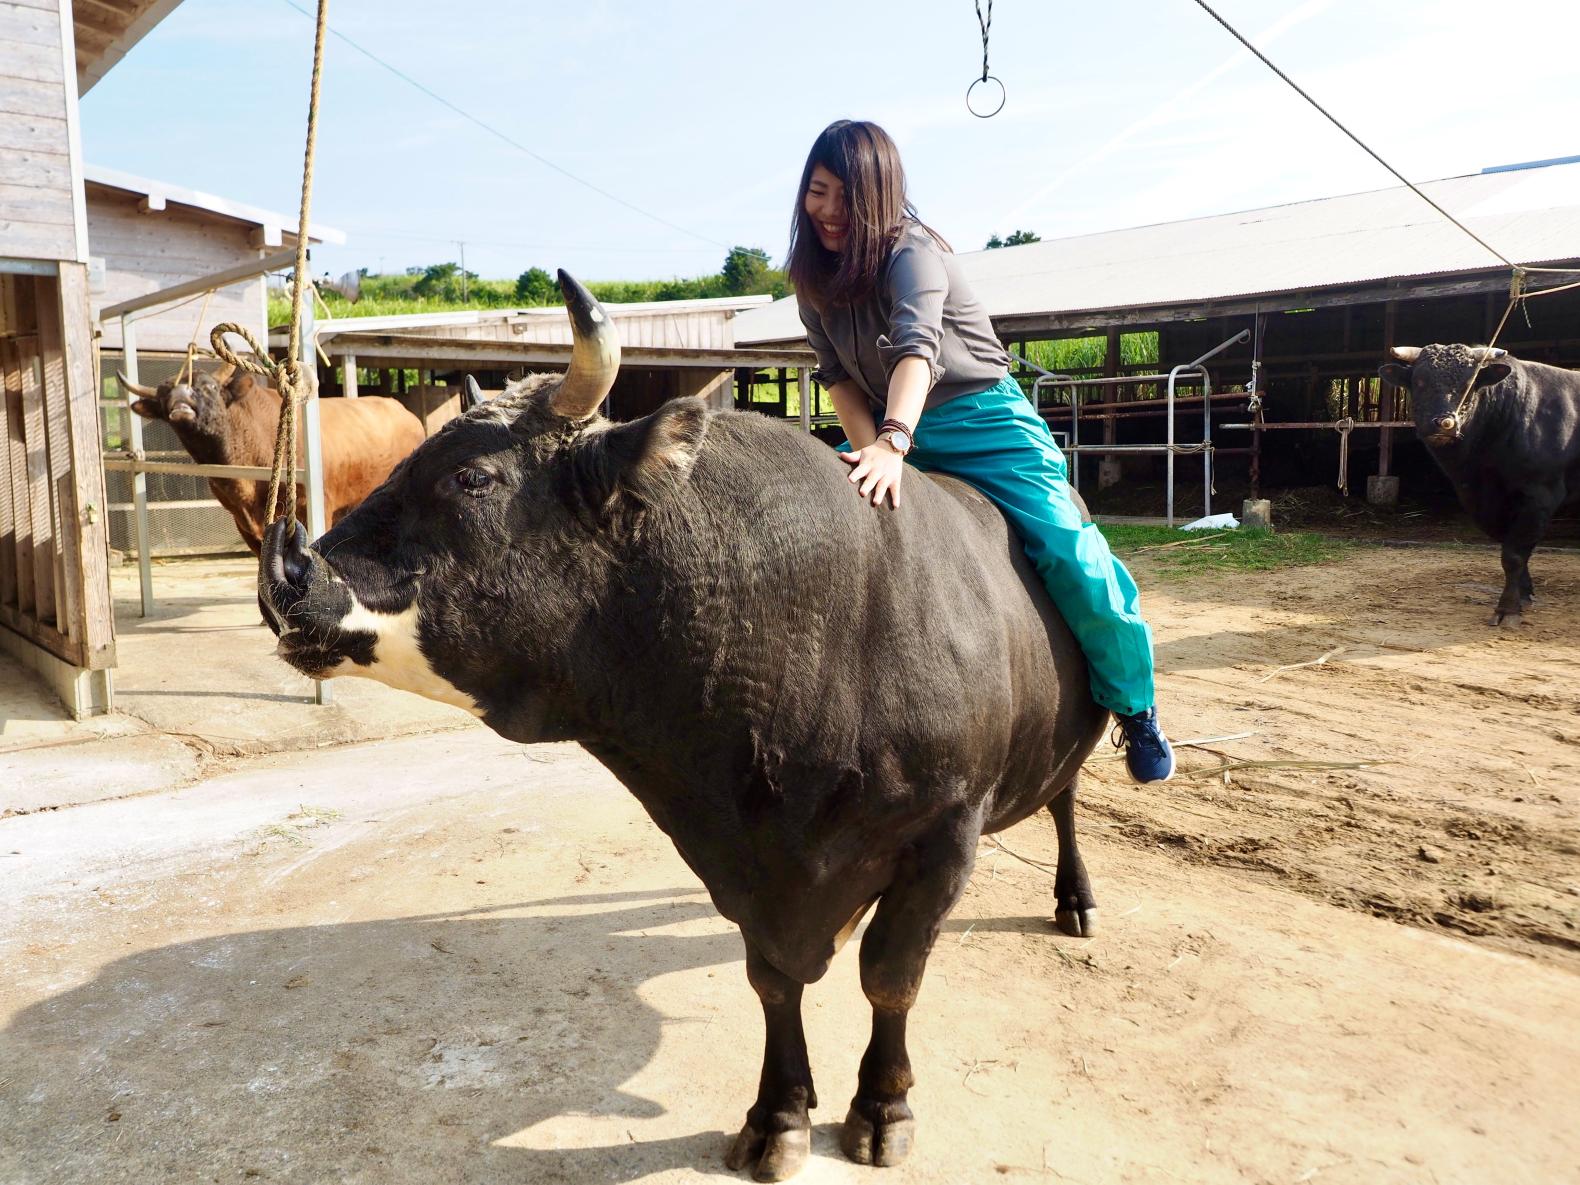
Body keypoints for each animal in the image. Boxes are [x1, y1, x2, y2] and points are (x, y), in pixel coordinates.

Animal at [259, 276, 1106, 1181]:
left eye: (473, 478)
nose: (288, 573)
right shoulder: (742, 866)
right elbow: (773, 980)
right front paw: (778, 1113)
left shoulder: (945, 829)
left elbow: (890, 976)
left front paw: (882, 1105)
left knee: (1065, 801)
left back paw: (1075, 898)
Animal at [1377, 342, 1573, 625]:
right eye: (1420, 381)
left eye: (1469, 383)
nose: (1444, 423)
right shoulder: (1483, 501)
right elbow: (1513, 549)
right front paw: (1524, 595)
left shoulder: (1541, 494)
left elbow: (1514, 554)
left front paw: (1508, 609)